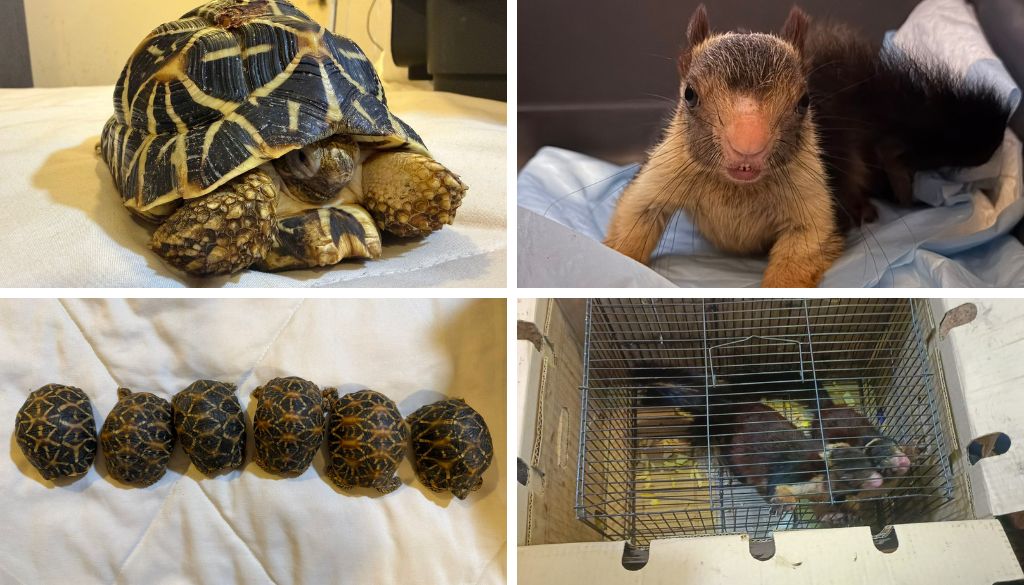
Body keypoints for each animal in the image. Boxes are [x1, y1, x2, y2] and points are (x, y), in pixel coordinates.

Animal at [604, 4, 1009, 287]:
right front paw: (613, 261)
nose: (748, 148)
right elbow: (634, 217)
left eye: (804, 101)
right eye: (689, 94)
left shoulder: (813, 197)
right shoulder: (666, 166)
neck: (737, 188)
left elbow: (804, 248)